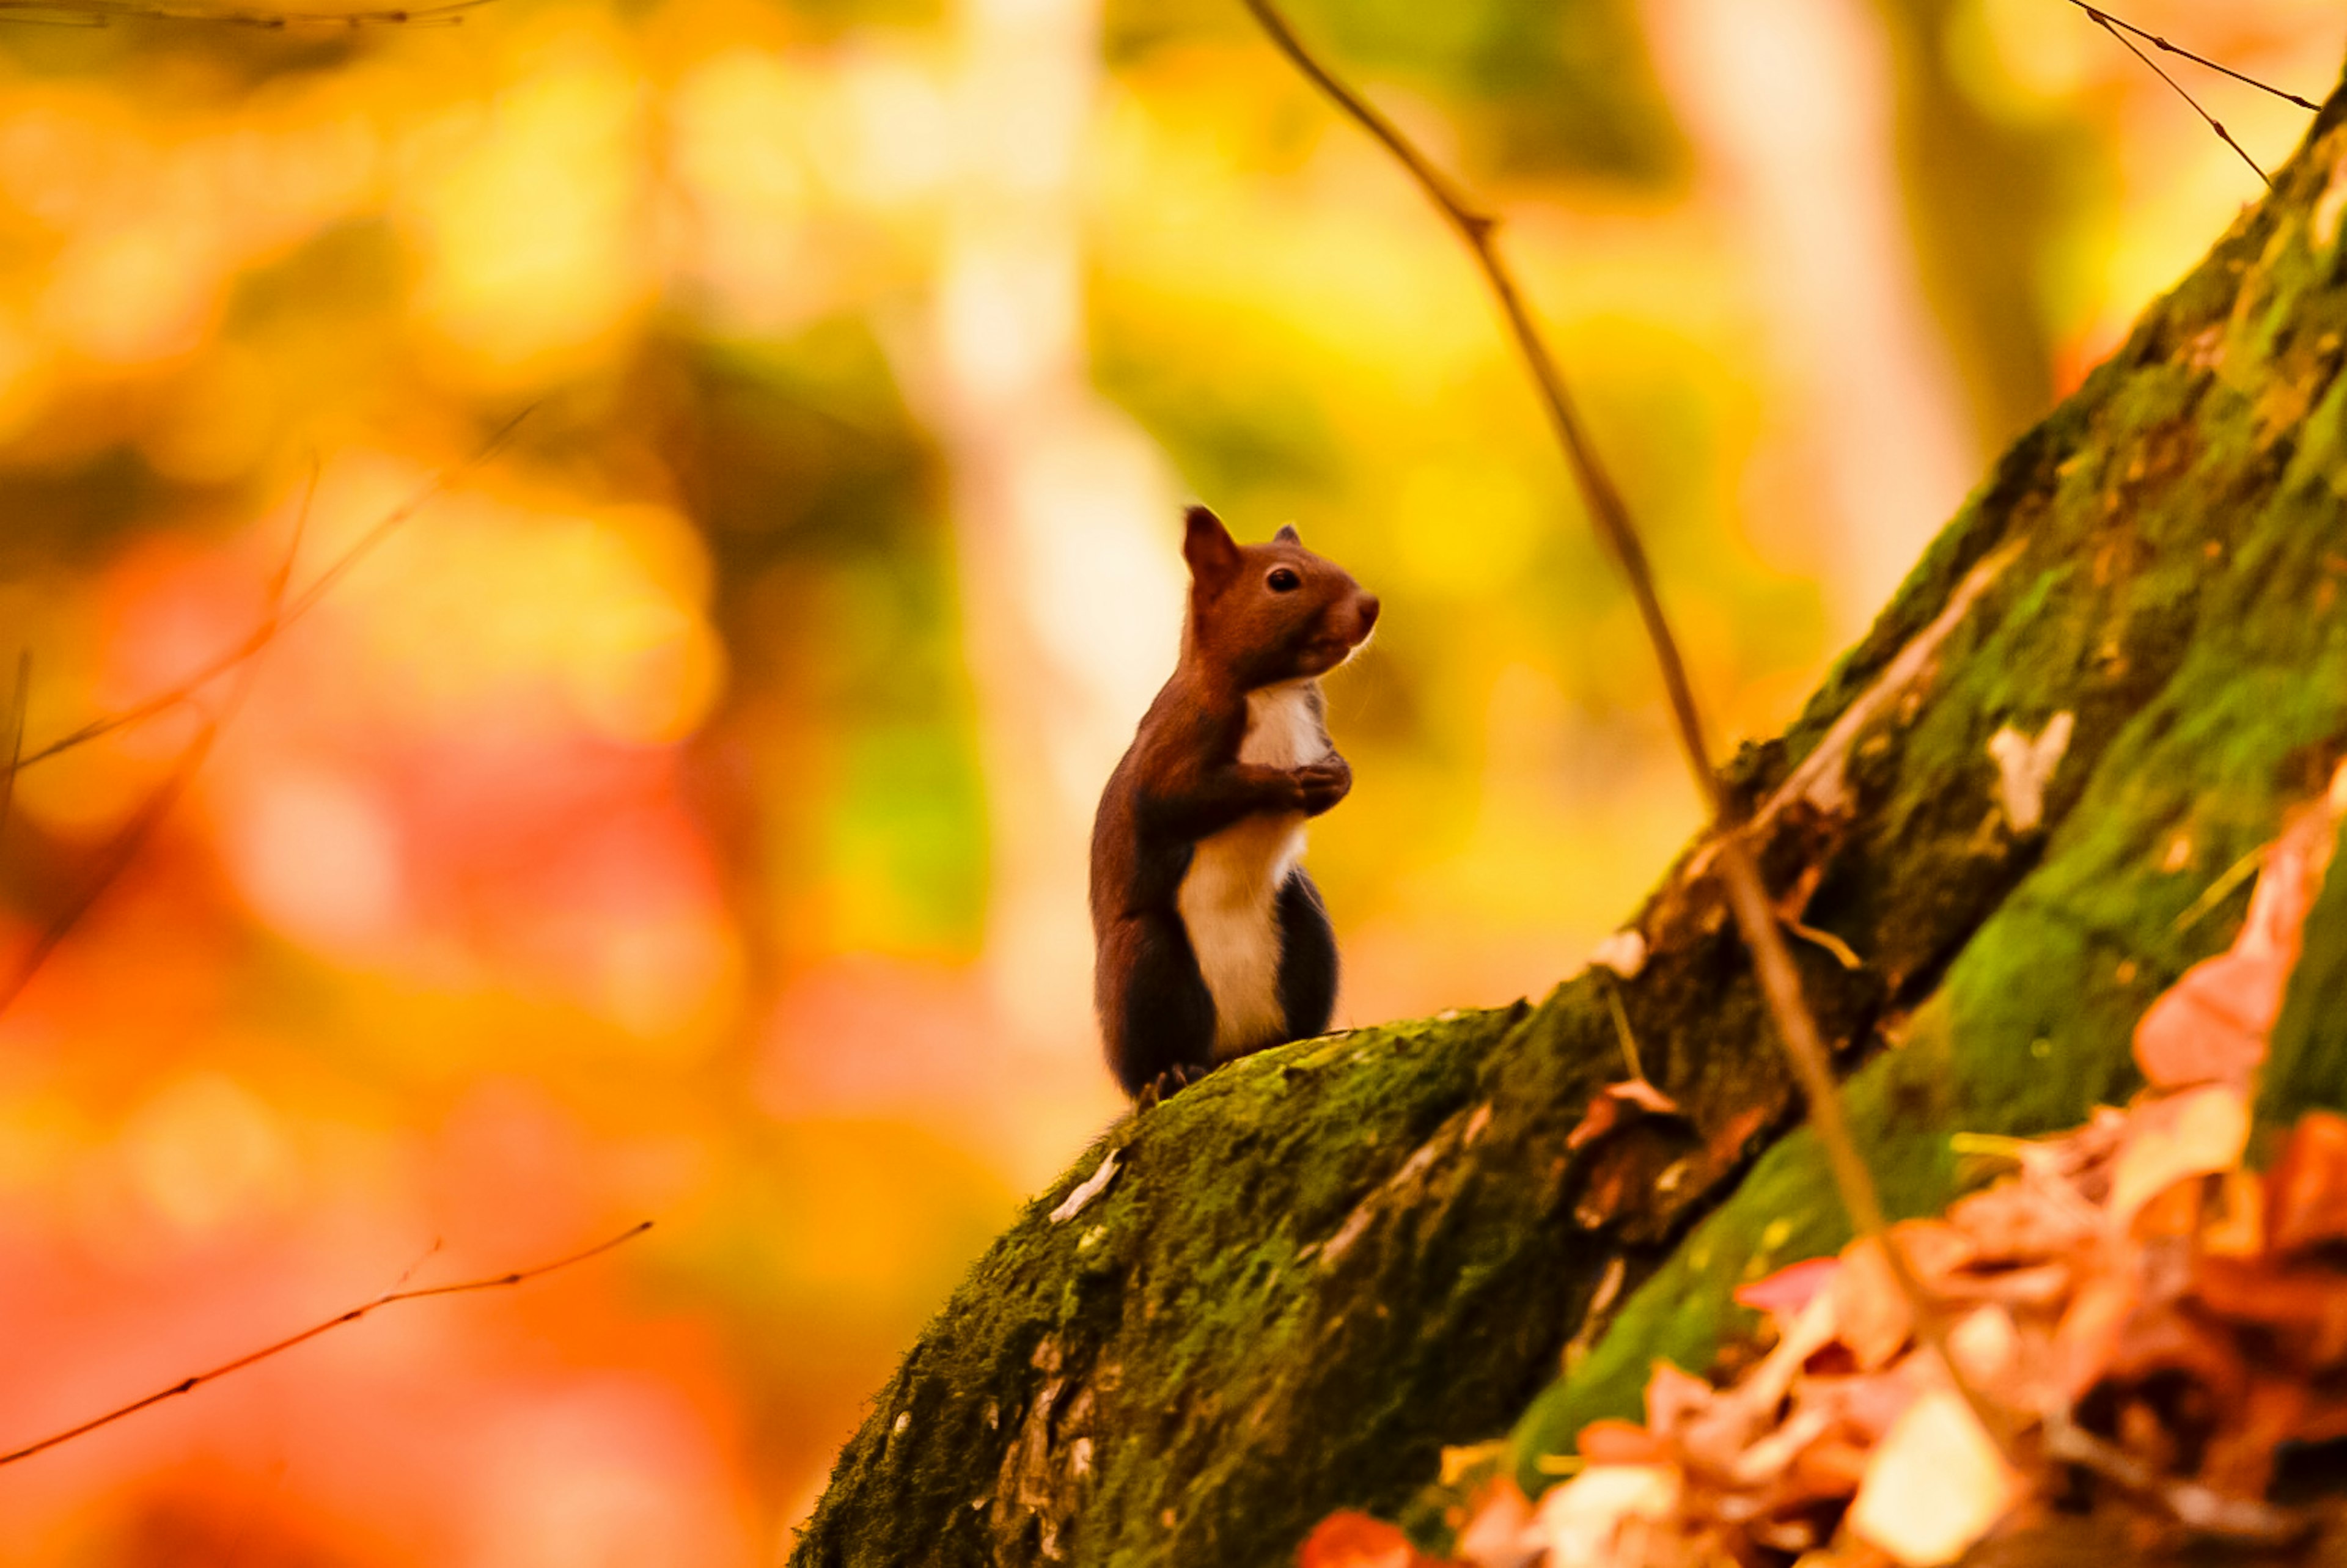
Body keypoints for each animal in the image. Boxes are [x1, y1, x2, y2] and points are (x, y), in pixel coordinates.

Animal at [1089, 509, 1379, 1098]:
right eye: (1282, 581)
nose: (1370, 606)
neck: (1273, 689)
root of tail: (1234, 1047)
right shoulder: (1178, 739)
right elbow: (1174, 799)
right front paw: (1289, 785)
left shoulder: (1314, 719)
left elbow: (1340, 768)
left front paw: (1335, 779)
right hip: (1144, 964)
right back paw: (1168, 1074)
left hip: (1305, 924)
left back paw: (1302, 1039)